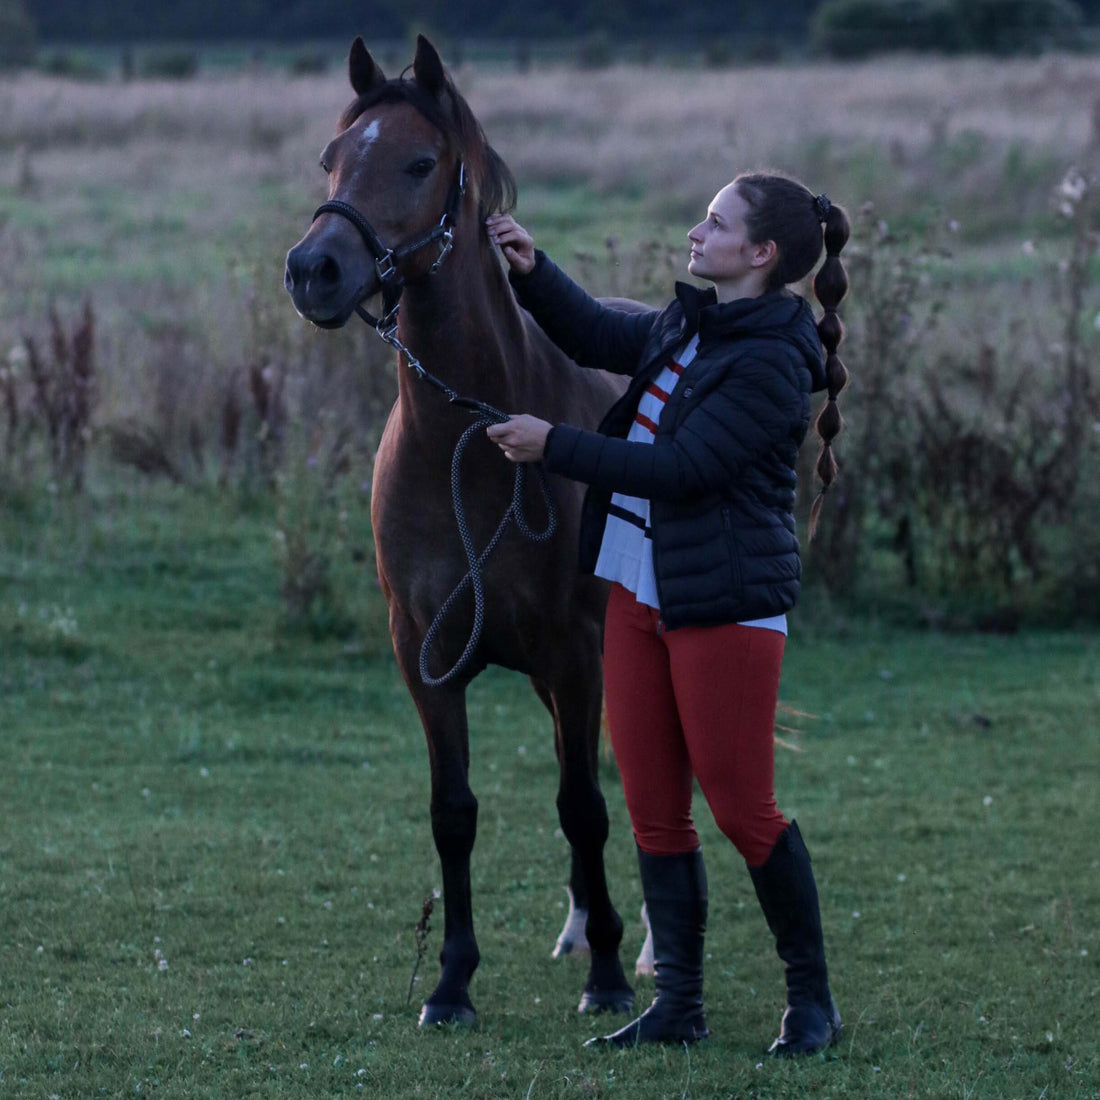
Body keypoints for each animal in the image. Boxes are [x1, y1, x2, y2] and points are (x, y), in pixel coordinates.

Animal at [283, 36, 638, 1029]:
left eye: (417, 163)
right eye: (331, 160)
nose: (313, 270)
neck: (471, 444)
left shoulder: (577, 648)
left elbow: (583, 805)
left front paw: (607, 976)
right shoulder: (425, 653)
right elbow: (456, 811)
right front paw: (450, 984)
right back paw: (577, 923)